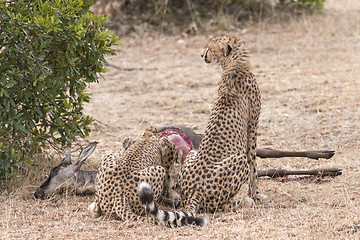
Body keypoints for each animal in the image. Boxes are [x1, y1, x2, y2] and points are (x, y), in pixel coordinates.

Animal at [140, 34, 264, 226]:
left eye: (209, 48)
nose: (201, 55)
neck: (234, 64)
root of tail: (194, 192)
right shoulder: (252, 128)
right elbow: (254, 165)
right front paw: (256, 195)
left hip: (192, 154)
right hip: (238, 160)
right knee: (219, 206)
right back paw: (244, 201)